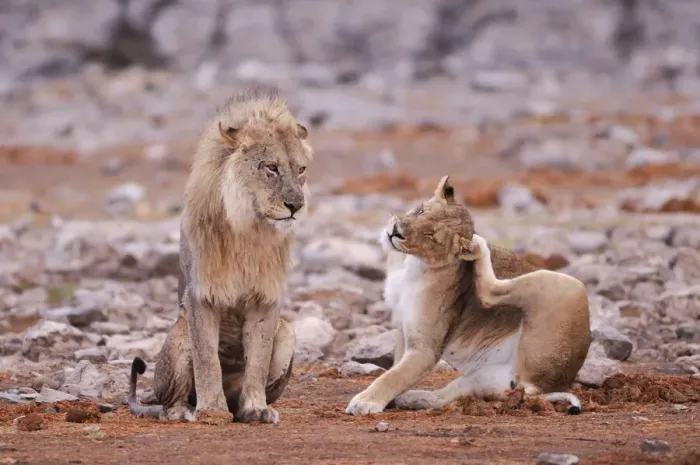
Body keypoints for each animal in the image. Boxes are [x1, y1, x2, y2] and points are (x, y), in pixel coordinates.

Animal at [127, 88, 313, 425]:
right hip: (179, 335)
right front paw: (212, 410)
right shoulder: (200, 294)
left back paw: (240, 410)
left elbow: (257, 361)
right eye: (271, 167)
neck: (249, 226)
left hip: (287, 332)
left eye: (301, 169)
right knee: (168, 403)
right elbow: (207, 360)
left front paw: (256, 409)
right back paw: (184, 411)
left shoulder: (266, 298)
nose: (296, 205)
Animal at [345, 176, 591, 416]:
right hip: (480, 379)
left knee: (490, 292)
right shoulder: (403, 327)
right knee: (442, 398)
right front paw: (389, 400)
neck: (408, 262)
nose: (396, 231)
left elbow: (394, 376)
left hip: (568, 285)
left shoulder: (426, 348)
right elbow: (398, 369)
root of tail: (545, 388)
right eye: (422, 211)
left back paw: (479, 245)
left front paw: (366, 402)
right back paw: (411, 398)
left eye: (430, 235)